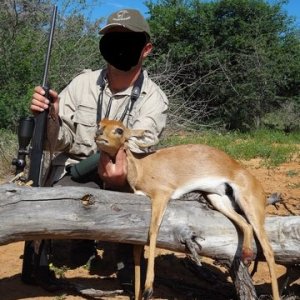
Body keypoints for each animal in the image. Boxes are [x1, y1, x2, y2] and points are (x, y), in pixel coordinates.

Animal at [95, 118, 280, 298]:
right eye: (100, 123)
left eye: (119, 129)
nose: (98, 134)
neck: (141, 168)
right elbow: (136, 248)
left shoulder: (162, 195)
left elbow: (153, 232)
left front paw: (148, 289)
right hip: (218, 200)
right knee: (245, 225)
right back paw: (247, 256)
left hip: (250, 205)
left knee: (269, 250)